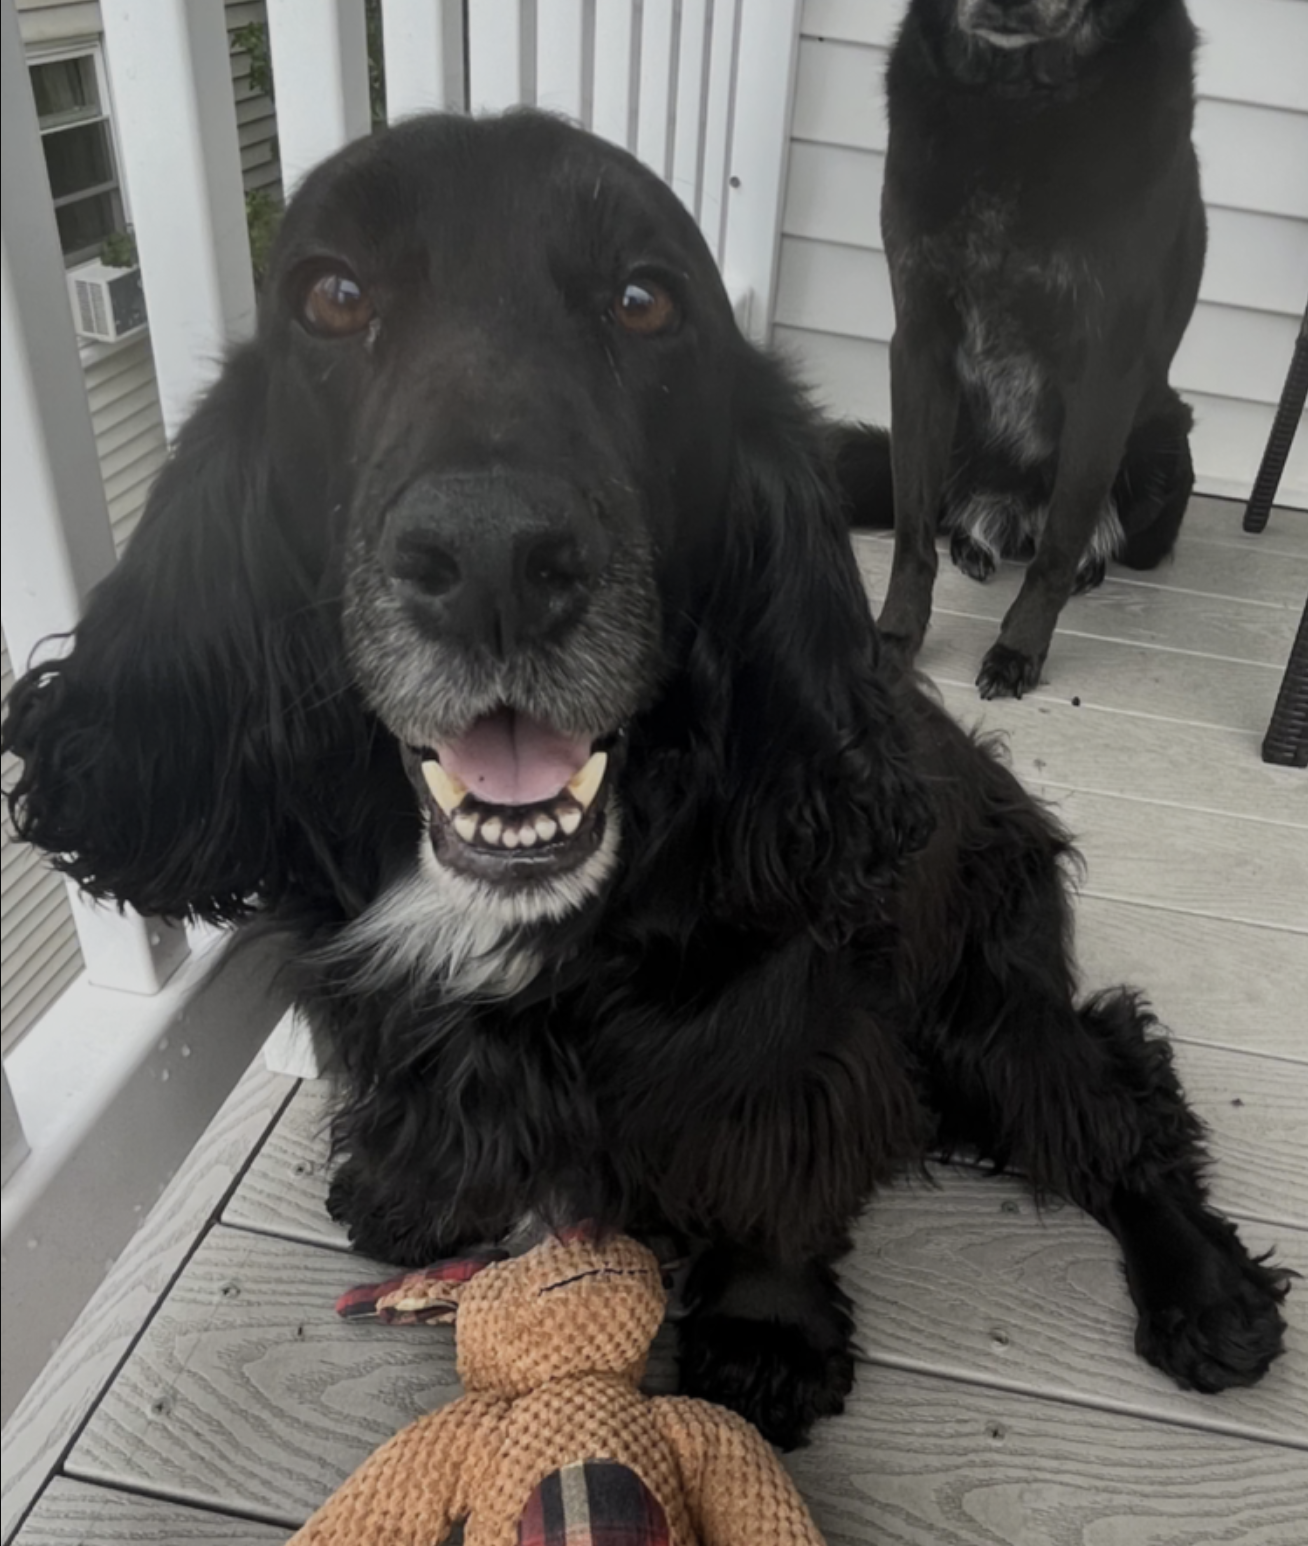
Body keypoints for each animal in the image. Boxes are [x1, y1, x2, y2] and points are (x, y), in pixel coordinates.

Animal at [3, 110, 1284, 1450]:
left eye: (644, 300)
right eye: (333, 296)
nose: (494, 560)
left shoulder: (795, 1027)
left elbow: (774, 1164)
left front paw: (765, 1333)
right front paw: (411, 1192)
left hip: (989, 1001)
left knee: (1118, 1098)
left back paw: (1207, 1293)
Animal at [877, 0, 1205, 698]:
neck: (1016, 102)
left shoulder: (1104, 377)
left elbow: (1058, 546)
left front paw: (1017, 650)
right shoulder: (918, 350)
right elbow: (912, 531)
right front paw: (894, 638)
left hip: (1162, 439)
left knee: (1075, 534)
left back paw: (1082, 564)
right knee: (963, 514)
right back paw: (975, 542)